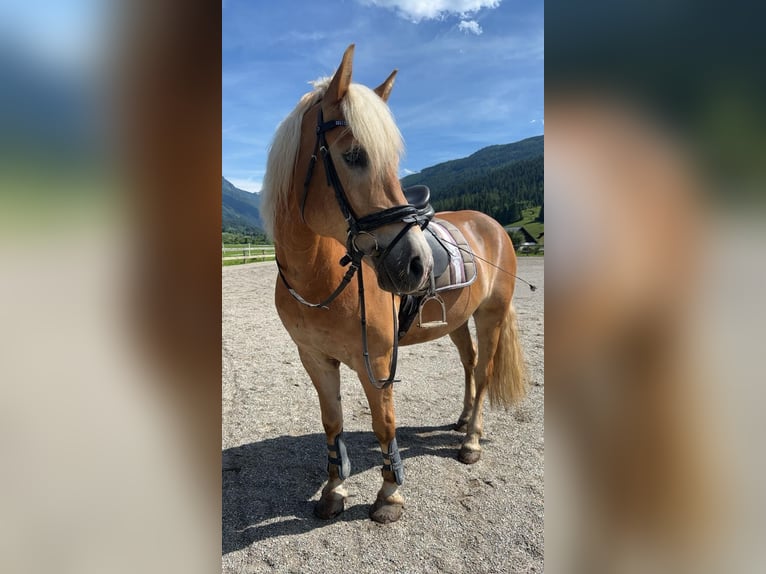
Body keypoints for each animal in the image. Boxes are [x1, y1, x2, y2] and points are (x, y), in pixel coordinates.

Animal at [260, 44, 527, 524]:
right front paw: (334, 490)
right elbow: (333, 422)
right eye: (354, 155)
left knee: (483, 371)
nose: (416, 264)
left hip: (491, 315)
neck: (321, 279)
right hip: (457, 321)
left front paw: (389, 495)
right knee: (469, 363)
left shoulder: (380, 361)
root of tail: (492, 226)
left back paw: (471, 441)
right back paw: (462, 421)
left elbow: (384, 424)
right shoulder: (314, 357)